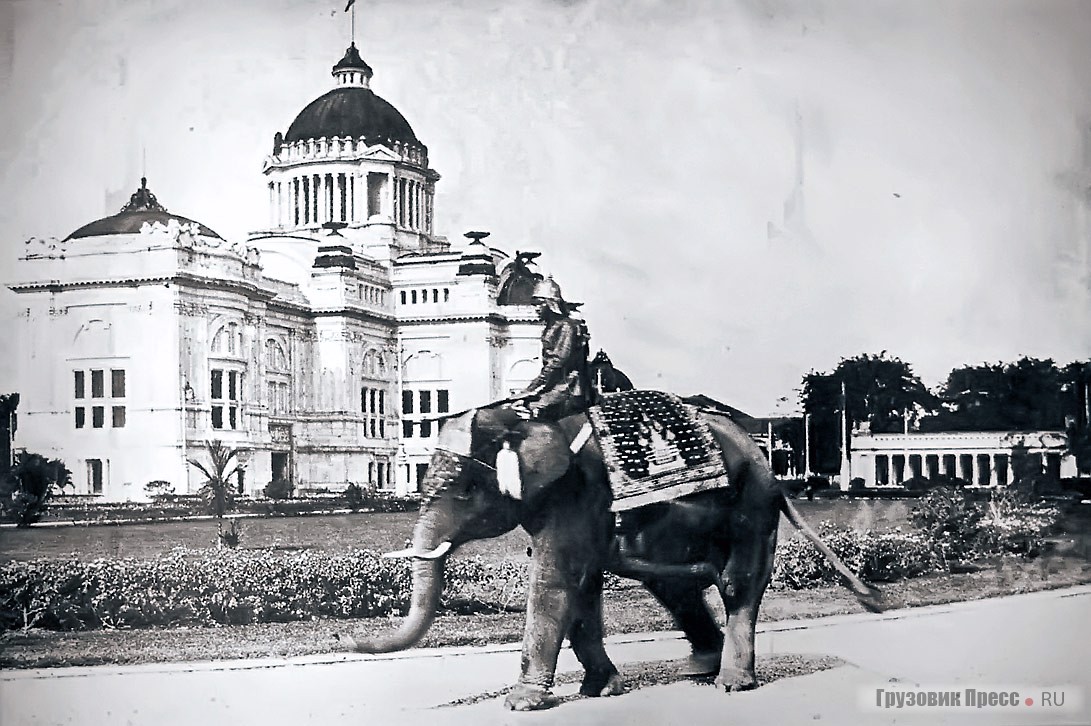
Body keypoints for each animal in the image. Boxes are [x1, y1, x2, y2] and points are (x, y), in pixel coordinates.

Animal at [349, 399, 877, 711]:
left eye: (464, 490)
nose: (349, 638)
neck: (524, 420)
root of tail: (776, 476)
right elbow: (581, 587)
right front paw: (599, 690)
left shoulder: (577, 495)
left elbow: (554, 579)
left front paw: (521, 704)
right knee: (675, 586)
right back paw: (698, 668)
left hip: (752, 507)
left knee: (734, 584)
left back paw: (731, 682)